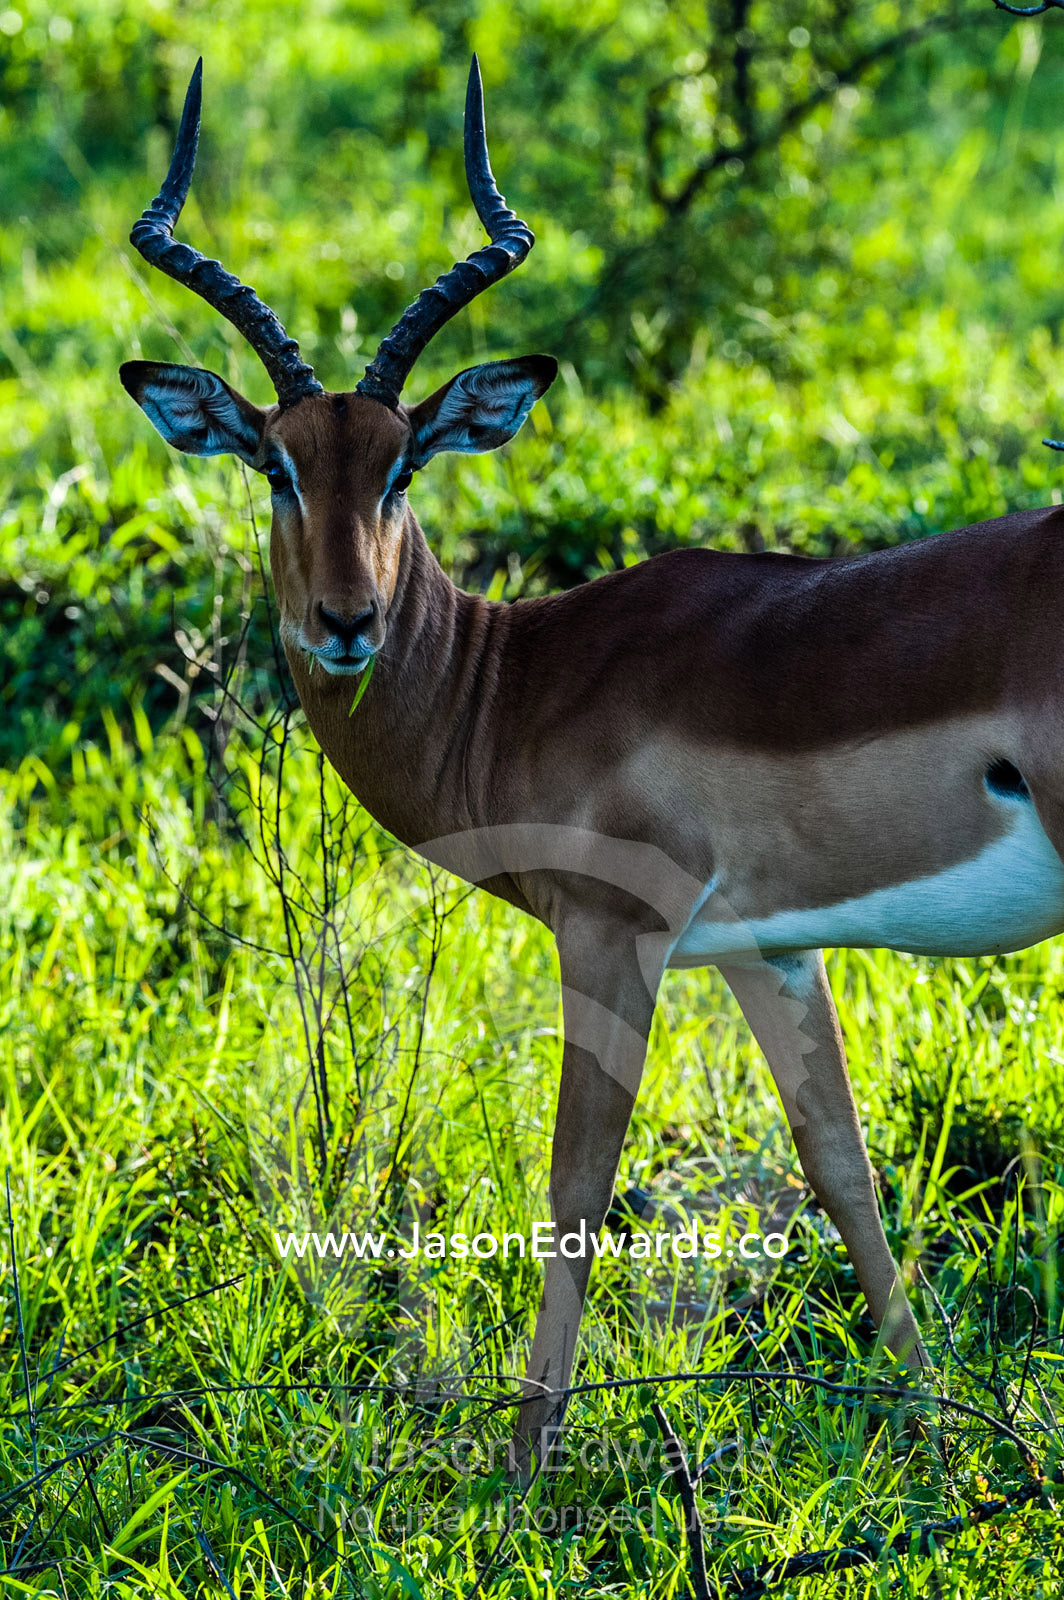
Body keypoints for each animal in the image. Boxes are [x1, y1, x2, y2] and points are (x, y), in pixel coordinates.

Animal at [121, 56, 1064, 1476]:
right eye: (277, 462)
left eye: (400, 462)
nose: (344, 621)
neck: (511, 683)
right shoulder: (766, 951)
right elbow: (842, 1169)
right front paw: (944, 1433)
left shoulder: (611, 932)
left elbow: (571, 1186)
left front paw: (518, 1472)